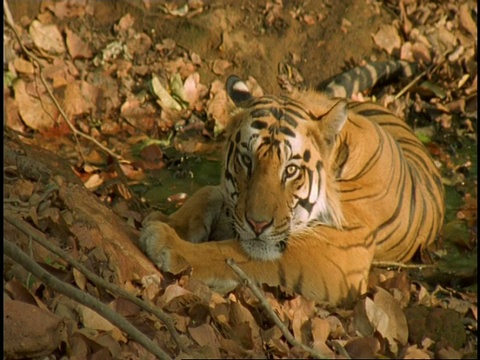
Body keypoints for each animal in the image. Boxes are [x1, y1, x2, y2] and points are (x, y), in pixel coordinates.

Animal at [137, 62, 444, 306]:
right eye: (247, 160)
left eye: (291, 170)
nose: (257, 224)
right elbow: (207, 193)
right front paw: (166, 221)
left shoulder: (335, 255)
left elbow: (228, 253)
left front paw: (166, 242)